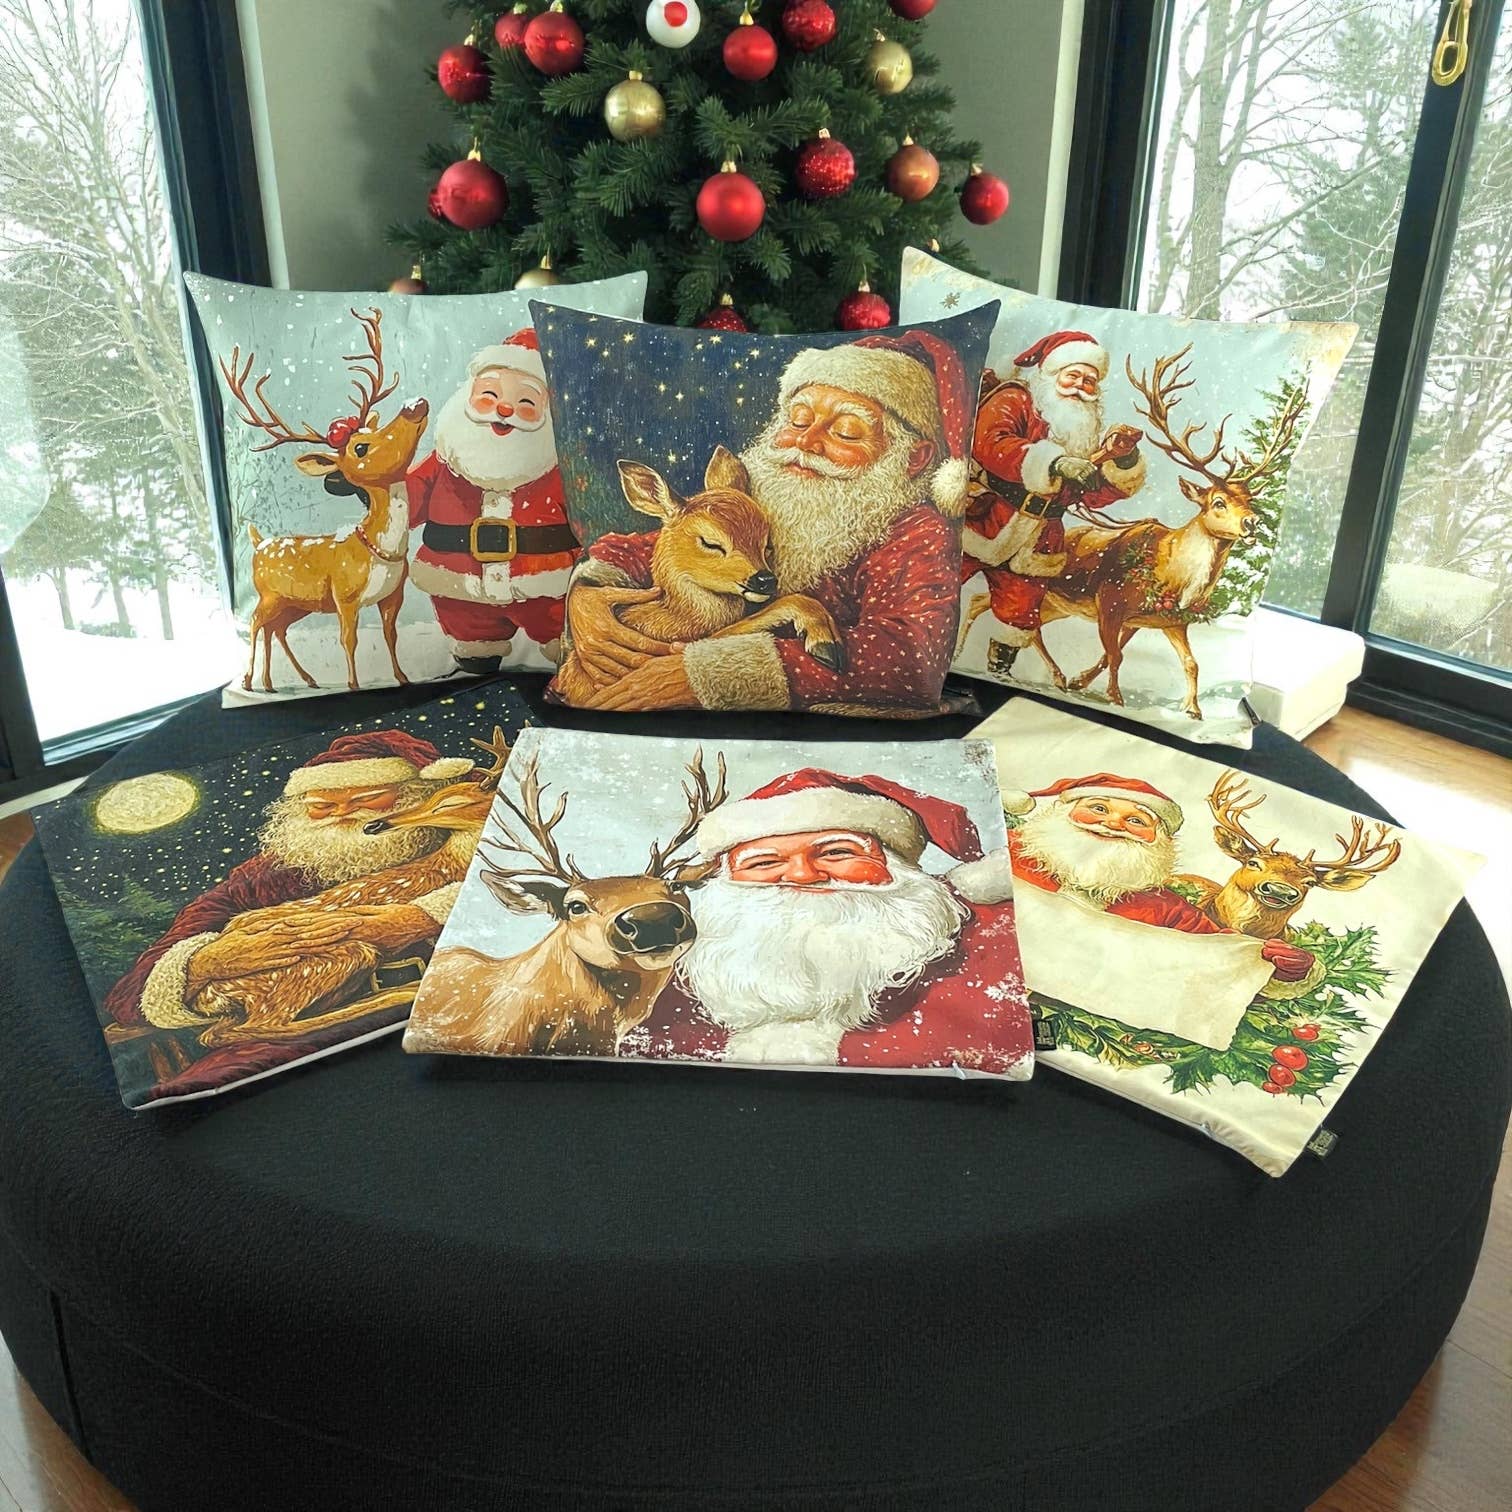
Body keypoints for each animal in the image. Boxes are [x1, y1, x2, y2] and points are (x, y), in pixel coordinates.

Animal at [221, 308, 429, 694]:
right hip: (269, 594)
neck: (380, 550)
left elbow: (391, 636)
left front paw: (403, 678)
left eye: (368, 431)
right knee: (257, 623)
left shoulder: (394, 594)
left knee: (276, 630)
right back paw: (249, 680)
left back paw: (289, 681)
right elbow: (349, 640)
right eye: (359, 448)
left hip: (296, 603)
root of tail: (257, 543)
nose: (415, 404)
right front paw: (353, 685)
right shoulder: (345, 596)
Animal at [552, 447, 845, 706]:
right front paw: (826, 643)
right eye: (710, 542)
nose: (765, 580)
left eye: (767, 543)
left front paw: (826, 641)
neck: (673, 618)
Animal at [1021, 347, 1306, 720]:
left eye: (1250, 500)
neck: (1172, 578)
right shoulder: (1109, 603)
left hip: (1059, 605)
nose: (1251, 523)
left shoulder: (1163, 621)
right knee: (1020, 623)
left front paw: (1193, 710)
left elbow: (1188, 662)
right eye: (1218, 502)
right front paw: (1114, 697)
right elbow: (1115, 654)